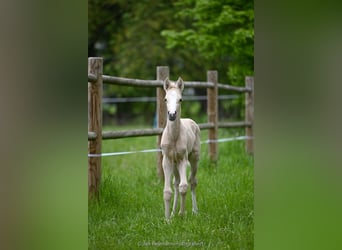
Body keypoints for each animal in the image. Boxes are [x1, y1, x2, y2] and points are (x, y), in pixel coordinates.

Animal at [160, 77, 200, 220]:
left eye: (180, 99)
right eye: (165, 99)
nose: (172, 115)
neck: (174, 137)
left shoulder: (183, 159)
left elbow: (184, 186)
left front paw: (182, 214)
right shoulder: (167, 160)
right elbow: (168, 191)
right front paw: (167, 219)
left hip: (194, 158)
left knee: (192, 182)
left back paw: (195, 211)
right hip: (175, 163)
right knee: (176, 183)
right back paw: (173, 212)